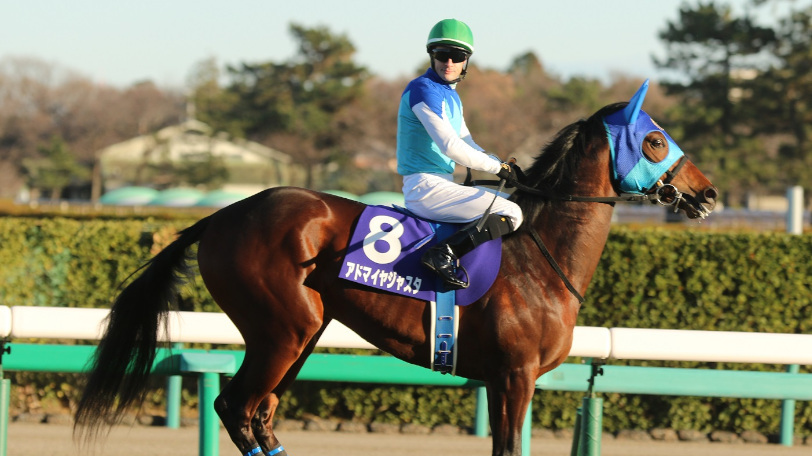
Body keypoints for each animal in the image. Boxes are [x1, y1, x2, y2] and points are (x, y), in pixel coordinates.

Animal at [74, 81, 717, 456]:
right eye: (656, 141)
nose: (708, 193)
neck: (539, 259)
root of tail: (225, 213)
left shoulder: (507, 380)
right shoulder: (514, 376)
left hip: (301, 333)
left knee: (261, 414)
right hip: (282, 330)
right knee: (237, 407)